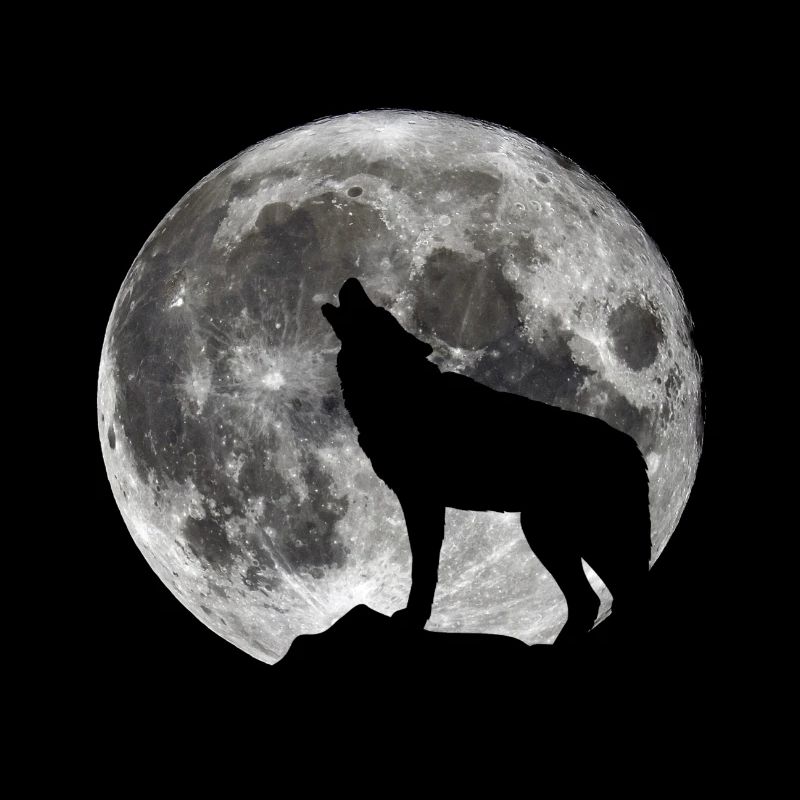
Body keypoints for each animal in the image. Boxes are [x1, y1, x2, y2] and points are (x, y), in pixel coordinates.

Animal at [322, 277, 651, 644]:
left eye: (378, 313)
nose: (352, 281)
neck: (400, 391)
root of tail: (632, 445)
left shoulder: (422, 502)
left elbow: (424, 570)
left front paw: (413, 619)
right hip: (554, 533)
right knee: (593, 599)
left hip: (569, 534)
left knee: (617, 596)